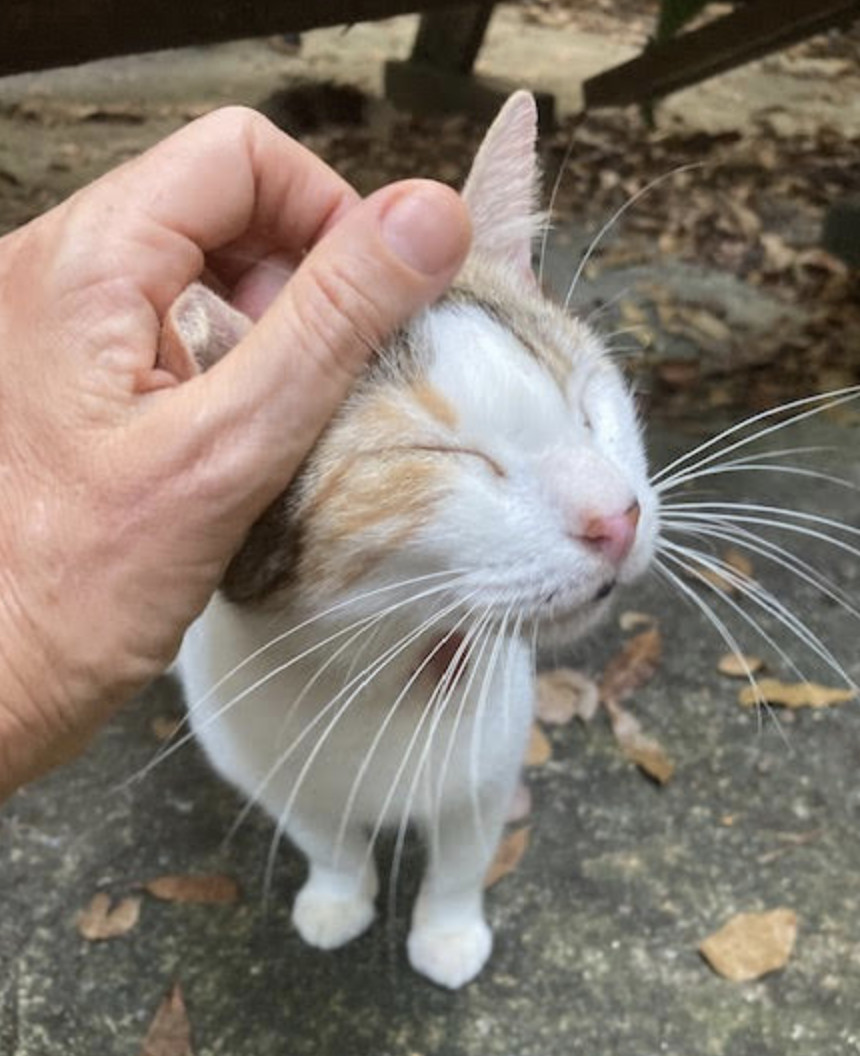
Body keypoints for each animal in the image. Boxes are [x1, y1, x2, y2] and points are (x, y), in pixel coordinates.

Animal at [175, 92, 659, 988]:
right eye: (448, 457)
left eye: (586, 404)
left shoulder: (490, 762)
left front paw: (447, 931)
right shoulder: (261, 767)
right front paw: (338, 897)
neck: (377, 668)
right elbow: (324, 838)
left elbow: (464, 855)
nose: (618, 518)